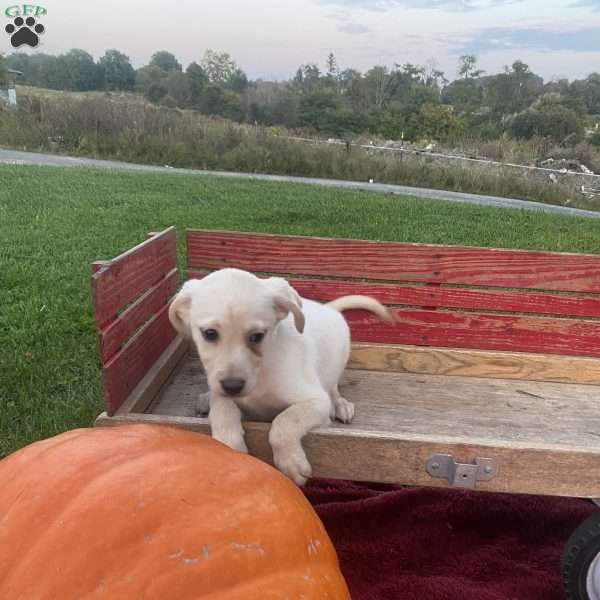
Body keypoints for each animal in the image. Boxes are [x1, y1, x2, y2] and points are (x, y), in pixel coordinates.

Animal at [169, 270, 394, 486]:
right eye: (209, 333)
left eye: (257, 336)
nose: (232, 386)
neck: (261, 374)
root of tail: (326, 308)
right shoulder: (221, 389)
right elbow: (222, 408)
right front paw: (229, 445)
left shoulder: (316, 402)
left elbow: (284, 421)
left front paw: (291, 463)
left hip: (337, 361)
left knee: (332, 388)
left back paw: (341, 405)